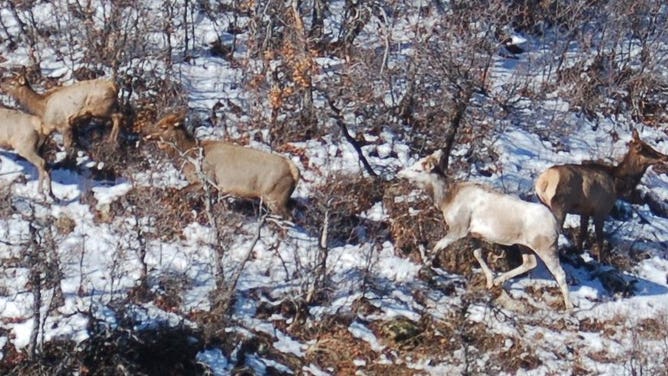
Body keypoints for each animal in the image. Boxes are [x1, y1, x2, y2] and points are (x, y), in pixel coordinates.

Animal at [144, 112, 300, 217]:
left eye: (163, 127)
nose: (145, 133)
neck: (189, 158)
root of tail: (295, 172)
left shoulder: (207, 180)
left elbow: (181, 191)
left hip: (274, 198)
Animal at [402, 148, 576, 310]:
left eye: (418, 169)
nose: (400, 173)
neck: (446, 201)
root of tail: (555, 224)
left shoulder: (459, 227)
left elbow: (438, 245)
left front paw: (424, 265)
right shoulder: (473, 234)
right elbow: (477, 254)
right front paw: (490, 280)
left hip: (547, 247)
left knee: (560, 273)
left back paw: (569, 306)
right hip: (524, 245)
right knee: (530, 263)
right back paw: (499, 280)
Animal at [536, 128, 668, 260]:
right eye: (649, 150)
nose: (665, 157)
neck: (618, 185)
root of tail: (543, 182)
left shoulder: (585, 210)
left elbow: (582, 233)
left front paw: (579, 252)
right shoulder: (601, 210)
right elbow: (599, 238)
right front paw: (600, 259)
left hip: (544, 203)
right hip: (560, 205)